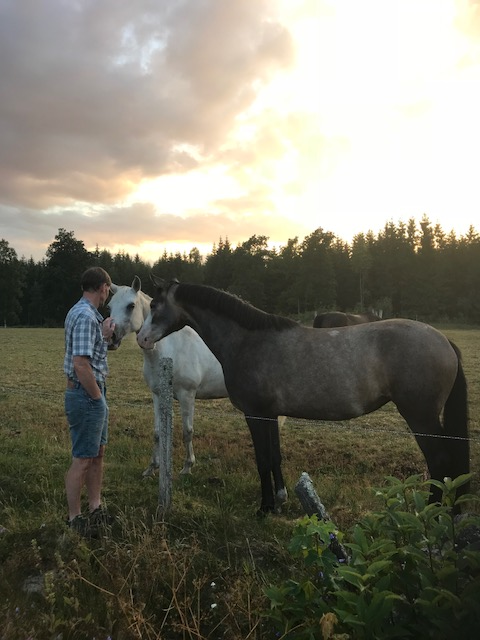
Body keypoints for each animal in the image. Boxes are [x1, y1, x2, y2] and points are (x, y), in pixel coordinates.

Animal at [109, 276, 229, 476]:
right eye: (109, 305)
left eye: (131, 305)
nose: (111, 337)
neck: (169, 351)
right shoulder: (157, 394)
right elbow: (158, 432)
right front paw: (152, 467)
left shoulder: (187, 395)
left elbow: (187, 431)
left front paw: (187, 467)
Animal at [136, 278, 468, 516]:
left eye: (155, 305)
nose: (141, 338)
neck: (249, 341)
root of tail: (444, 340)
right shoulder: (270, 414)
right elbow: (274, 457)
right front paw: (280, 500)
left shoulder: (255, 413)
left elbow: (262, 459)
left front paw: (265, 508)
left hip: (420, 416)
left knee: (439, 460)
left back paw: (432, 512)